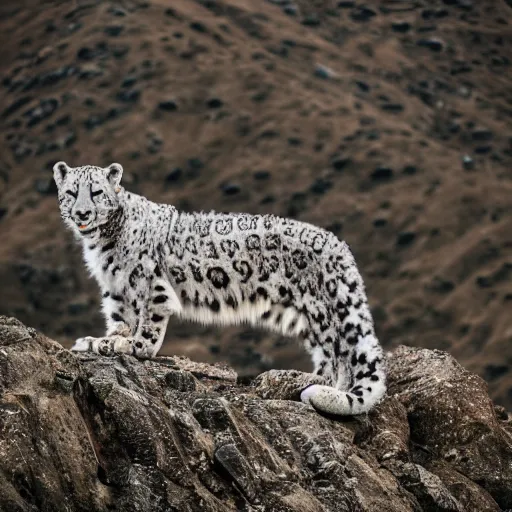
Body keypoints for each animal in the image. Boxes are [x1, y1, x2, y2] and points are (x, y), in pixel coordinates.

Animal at [55, 162, 384, 414]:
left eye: (96, 192)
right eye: (71, 193)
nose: (82, 213)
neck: (103, 245)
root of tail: (339, 246)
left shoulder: (149, 282)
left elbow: (146, 327)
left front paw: (128, 346)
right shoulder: (115, 288)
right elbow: (120, 320)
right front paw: (103, 341)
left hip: (323, 312)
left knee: (342, 358)